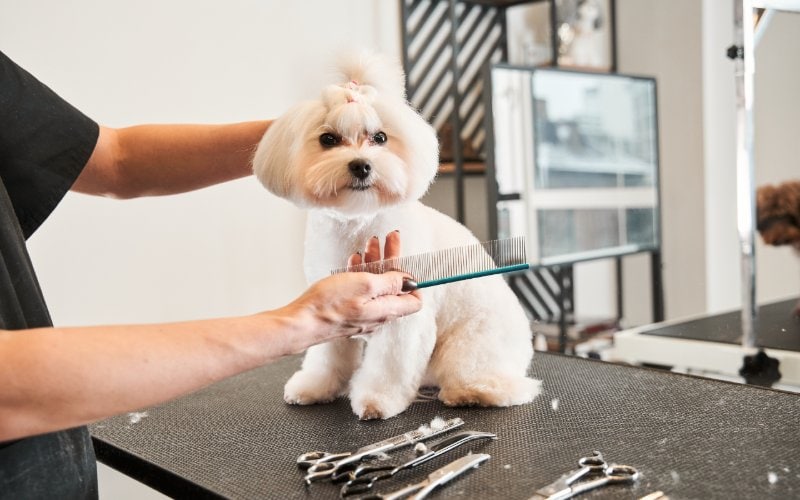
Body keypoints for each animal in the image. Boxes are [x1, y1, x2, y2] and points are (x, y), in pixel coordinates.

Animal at [253, 51, 540, 418]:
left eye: (380, 138)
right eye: (328, 139)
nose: (362, 165)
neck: (359, 223)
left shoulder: (406, 311)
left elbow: (390, 363)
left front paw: (377, 400)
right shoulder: (331, 301)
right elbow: (328, 354)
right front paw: (316, 386)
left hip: (474, 342)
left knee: (501, 382)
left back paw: (472, 391)